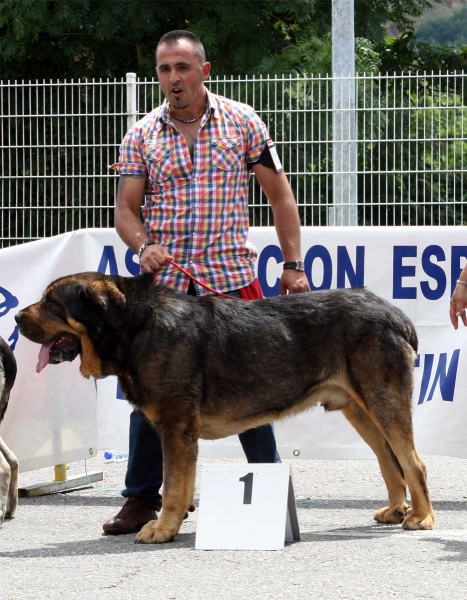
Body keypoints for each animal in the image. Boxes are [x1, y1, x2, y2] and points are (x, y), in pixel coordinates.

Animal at [13, 272, 436, 544]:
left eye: (52, 302)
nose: (16, 316)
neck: (135, 327)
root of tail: (395, 314)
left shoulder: (176, 428)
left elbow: (173, 484)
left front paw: (162, 529)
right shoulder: (177, 432)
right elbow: (180, 485)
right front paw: (174, 522)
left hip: (382, 400)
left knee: (412, 461)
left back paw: (421, 517)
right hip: (359, 409)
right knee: (389, 459)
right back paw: (396, 510)